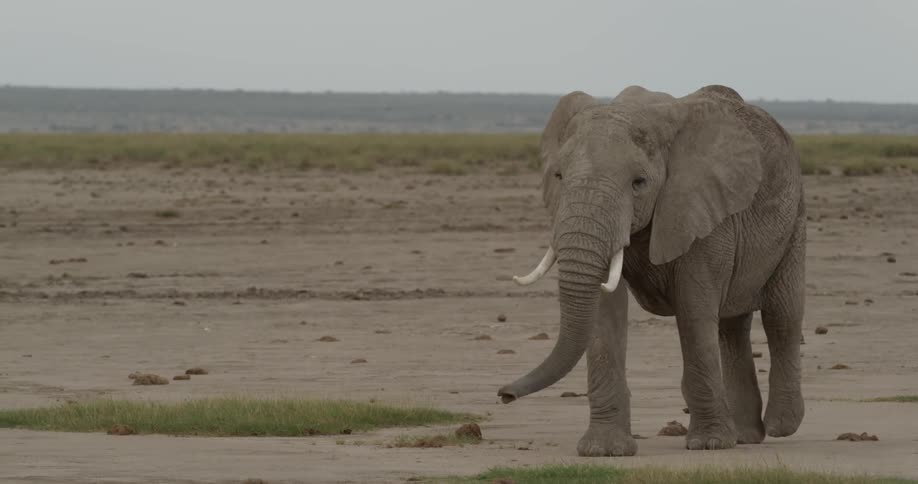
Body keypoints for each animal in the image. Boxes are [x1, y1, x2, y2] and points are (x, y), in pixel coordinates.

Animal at [498, 84, 806, 456]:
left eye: (639, 182)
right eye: (559, 177)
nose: (504, 395)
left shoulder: (700, 208)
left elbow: (693, 310)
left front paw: (709, 444)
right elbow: (606, 313)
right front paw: (604, 450)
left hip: (794, 219)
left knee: (781, 317)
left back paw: (780, 427)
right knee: (731, 328)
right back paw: (746, 435)